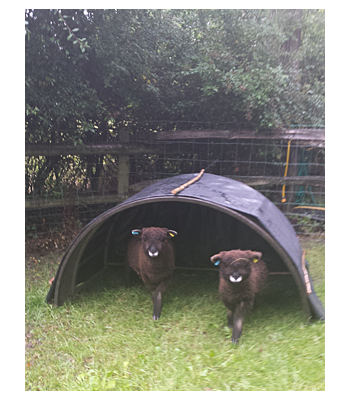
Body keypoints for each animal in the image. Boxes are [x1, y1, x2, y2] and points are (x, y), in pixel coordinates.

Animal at [46, 173, 326, 322]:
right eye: (147, 240)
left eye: (162, 240)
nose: (152, 251)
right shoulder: (148, 275)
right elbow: (154, 293)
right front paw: (155, 311)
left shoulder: (167, 275)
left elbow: (160, 294)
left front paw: (158, 310)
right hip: (128, 262)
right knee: (127, 271)